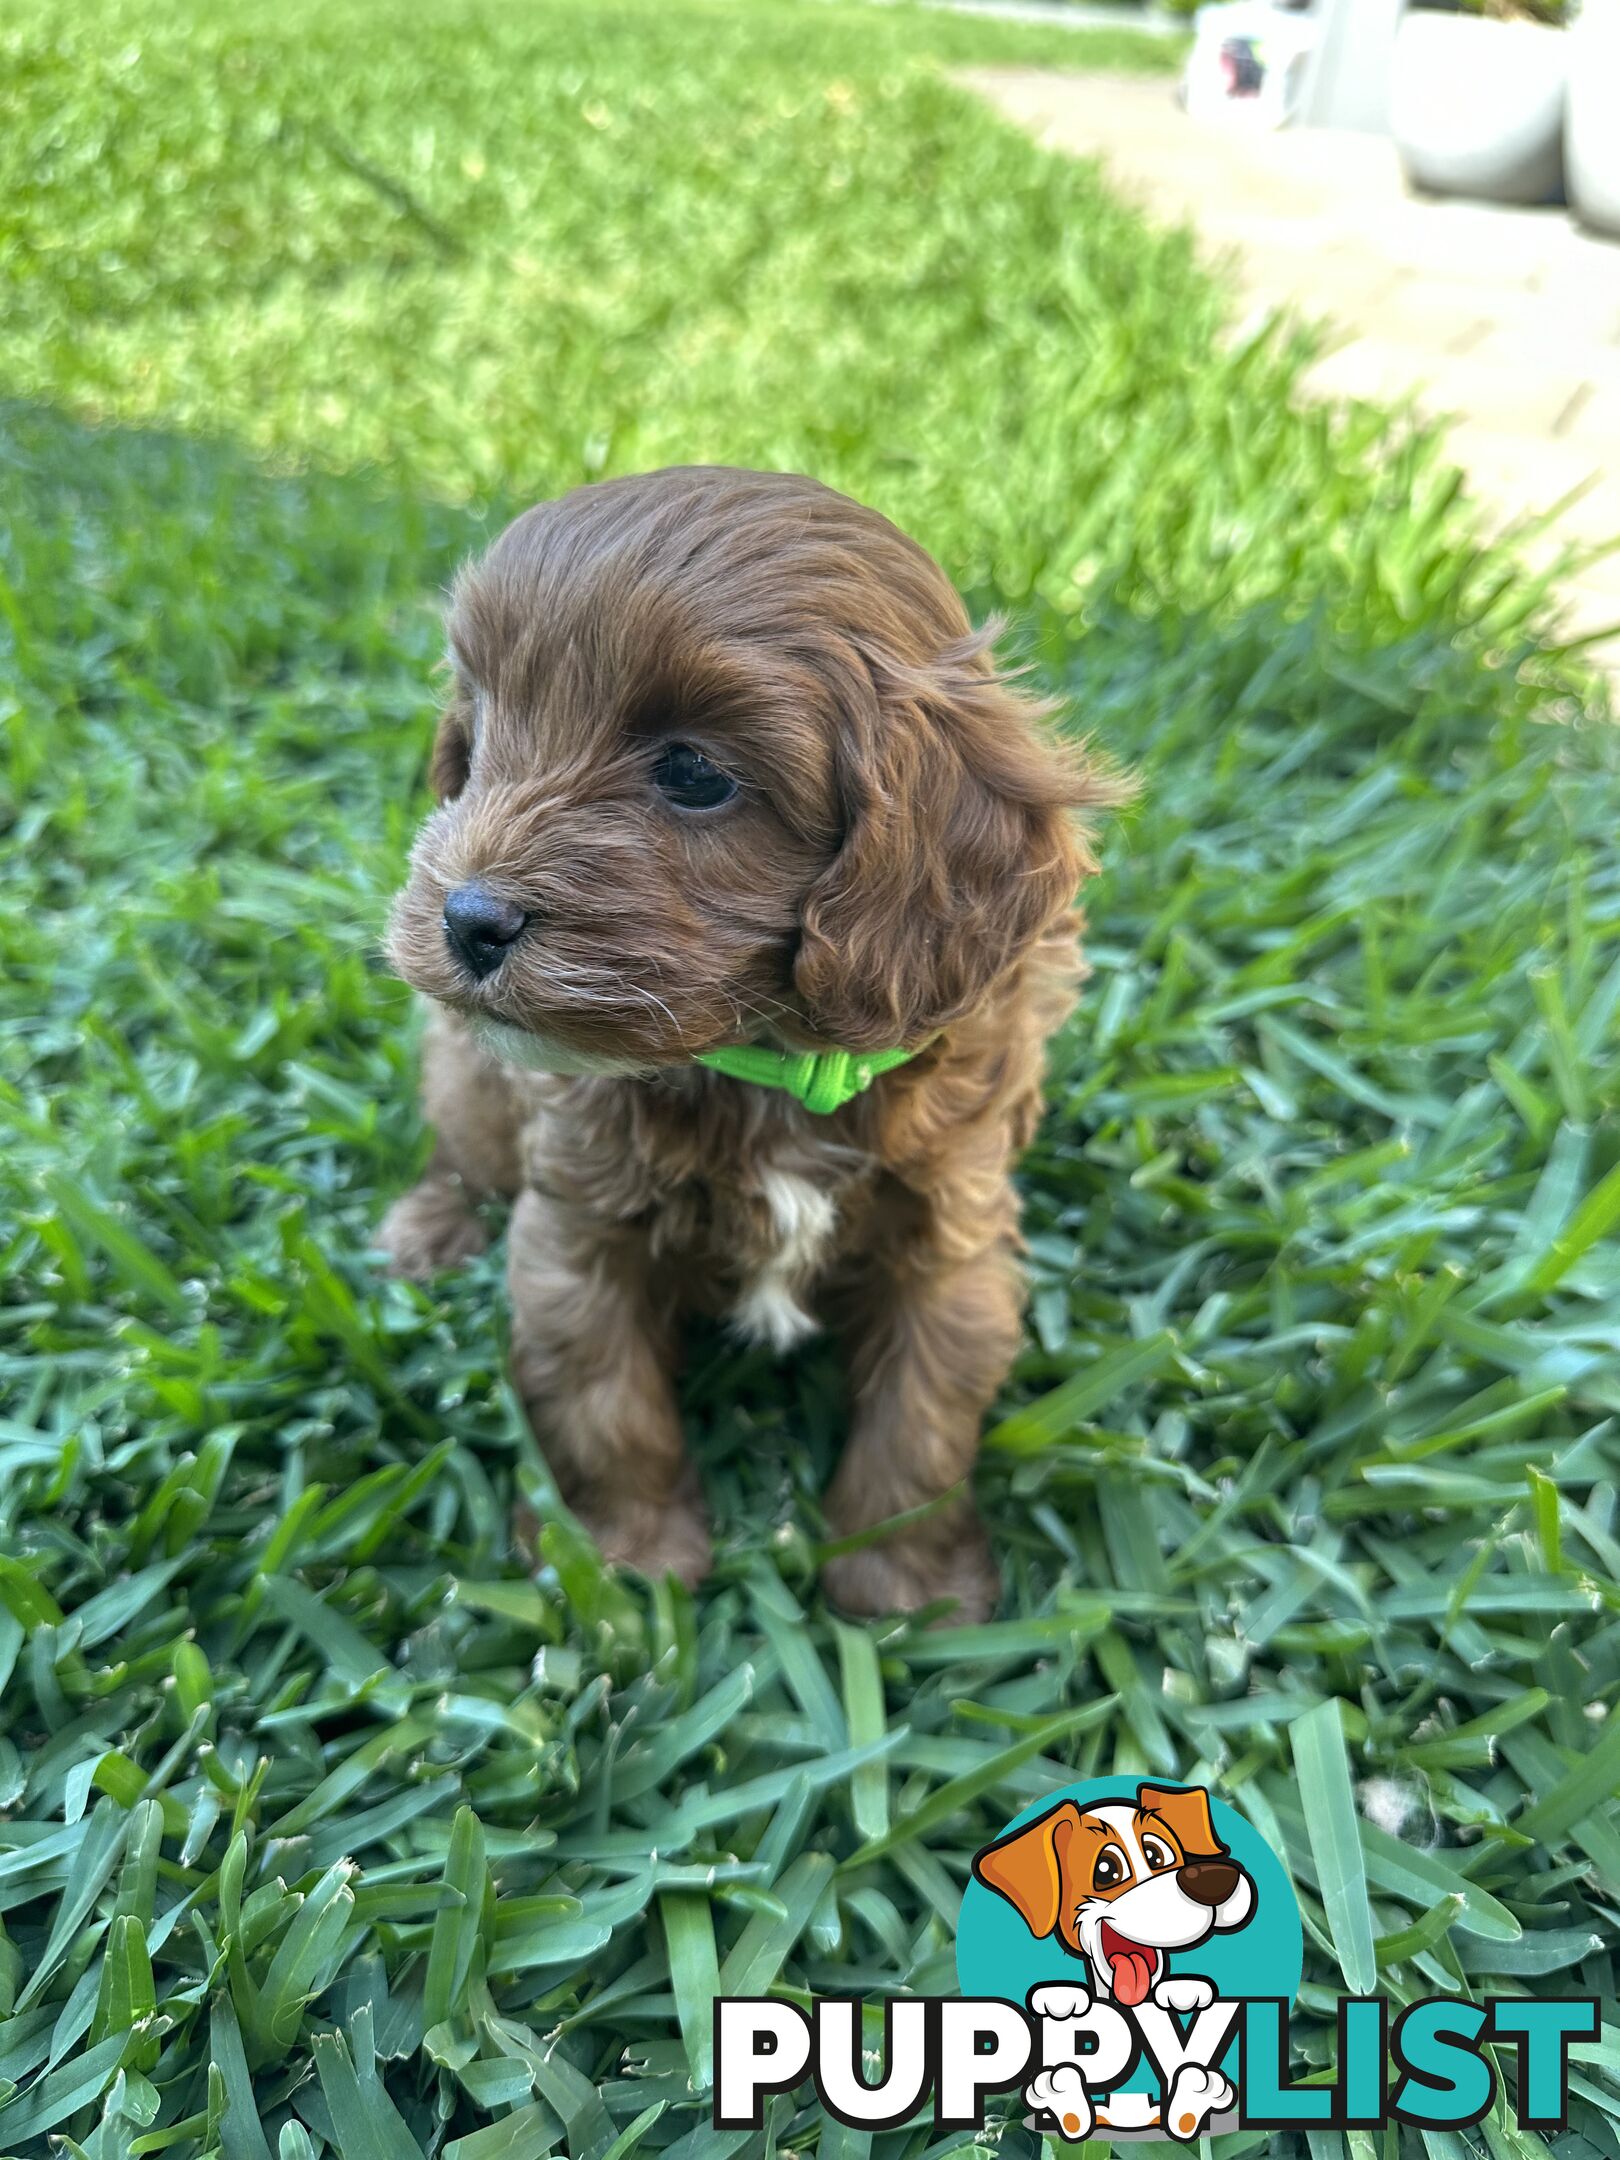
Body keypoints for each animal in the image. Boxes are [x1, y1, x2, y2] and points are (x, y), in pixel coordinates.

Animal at [380, 473, 1123, 1624]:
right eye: (488, 726)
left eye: (692, 772)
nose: (466, 919)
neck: (773, 1059)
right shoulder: (579, 1228)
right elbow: (605, 1405)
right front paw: (624, 1564)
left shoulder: (953, 1242)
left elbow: (923, 1421)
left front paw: (905, 1591)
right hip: (468, 1076)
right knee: (459, 1149)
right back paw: (426, 1229)